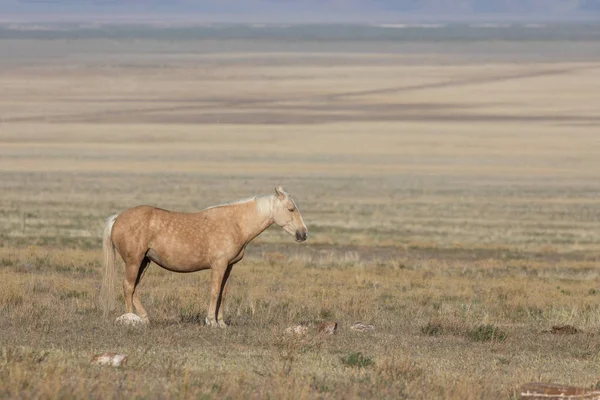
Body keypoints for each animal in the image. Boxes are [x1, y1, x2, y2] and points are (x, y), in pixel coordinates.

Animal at [100, 186, 308, 326]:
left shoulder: (228, 266)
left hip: (144, 262)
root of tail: (118, 218)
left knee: (133, 288)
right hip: (133, 262)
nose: (303, 234)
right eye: (291, 209)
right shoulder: (219, 265)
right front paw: (211, 321)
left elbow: (223, 293)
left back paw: (143, 318)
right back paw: (130, 319)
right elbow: (214, 291)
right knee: (128, 287)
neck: (236, 224)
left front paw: (221, 323)